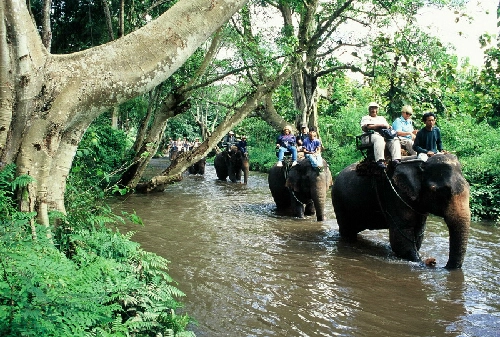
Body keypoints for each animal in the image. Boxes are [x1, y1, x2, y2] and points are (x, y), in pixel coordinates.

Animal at [332, 154, 468, 270]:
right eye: (437, 191)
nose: (435, 262)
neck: (421, 163)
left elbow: (418, 234)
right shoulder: (395, 194)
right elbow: (402, 239)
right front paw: (421, 261)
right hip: (339, 202)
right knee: (348, 232)